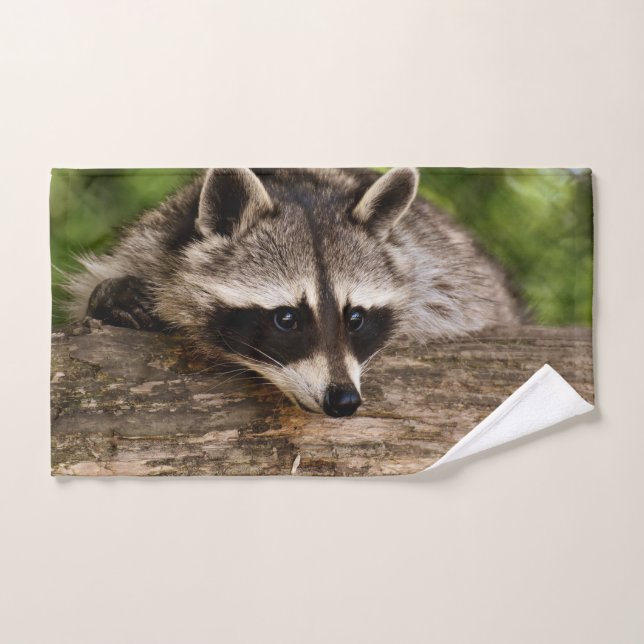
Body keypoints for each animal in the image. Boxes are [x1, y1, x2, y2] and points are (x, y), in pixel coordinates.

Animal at [67, 168, 521, 417]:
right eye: (287, 318)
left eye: (355, 318)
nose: (343, 400)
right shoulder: (151, 242)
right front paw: (112, 297)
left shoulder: (441, 273)